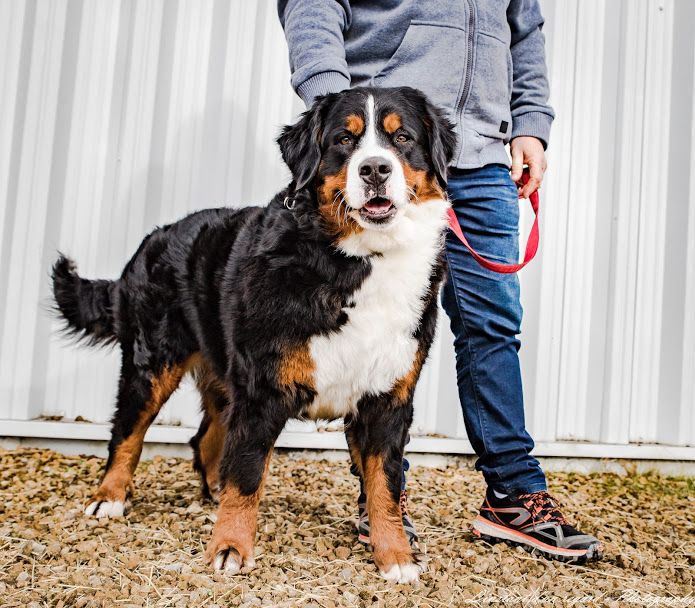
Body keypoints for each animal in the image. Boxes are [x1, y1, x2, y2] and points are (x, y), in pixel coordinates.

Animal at [53, 85, 456, 584]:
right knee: (128, 431)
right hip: (153, 363)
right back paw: (109, 498)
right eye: (344, 140)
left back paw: (210, 493)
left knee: (206, 437)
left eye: (402, 139)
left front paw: (396, 556)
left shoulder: (388, 397)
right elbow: (247, 473)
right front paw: (230, 547)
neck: (358, 260)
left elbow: (385, 483)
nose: (375, 169)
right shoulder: (263, 388)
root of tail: (156, 235)